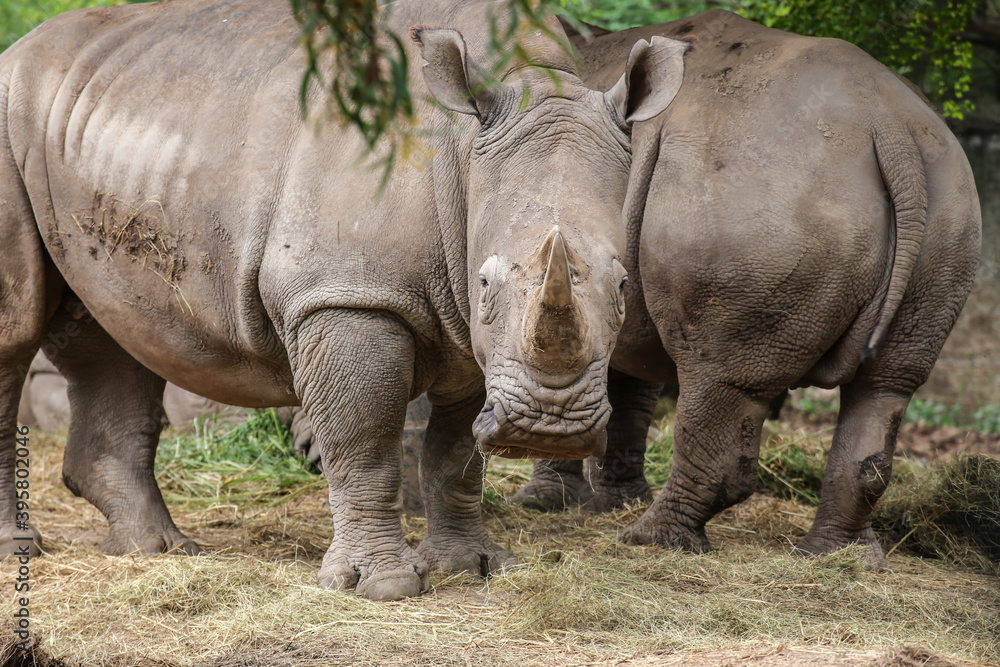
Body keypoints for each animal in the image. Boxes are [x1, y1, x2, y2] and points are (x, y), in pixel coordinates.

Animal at [0, 0, 690, 599]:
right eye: (487, 283)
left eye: (623, 286)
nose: (550, 429)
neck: (464, 152)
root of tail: (19, 49)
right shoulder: (347, 296)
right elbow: (365, 443)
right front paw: (379, 587)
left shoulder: (471, 333)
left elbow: (456, 455)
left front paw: (469, 569)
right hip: (12, 117)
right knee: (19, 333)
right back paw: (24, 551)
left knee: (121, 334)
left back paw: (159, 551)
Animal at [514, 10, 981, 564]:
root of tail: (891, 129)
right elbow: (623, 385)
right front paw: (603, 502)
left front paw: (542, 504)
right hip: (946, 199)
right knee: (887, 385)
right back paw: (837, 558)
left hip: (756, 194)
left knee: (722, 375)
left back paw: (651, 540)